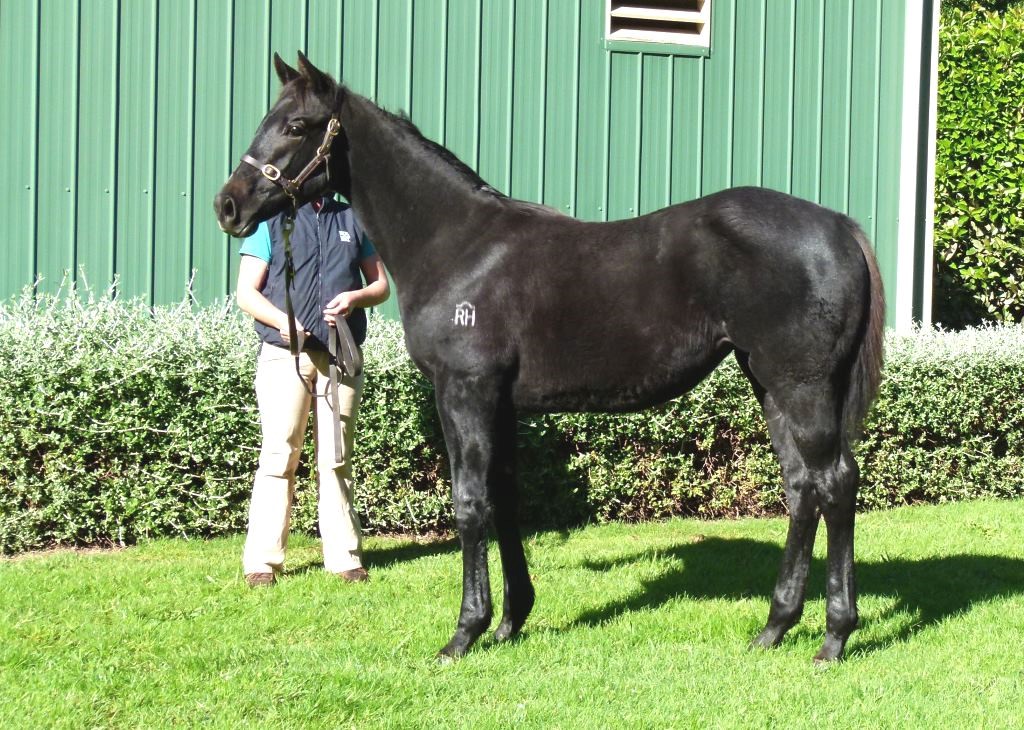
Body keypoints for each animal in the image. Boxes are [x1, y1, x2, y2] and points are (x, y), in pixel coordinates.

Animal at [215, 53, 885, 663]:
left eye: (297, 125)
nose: (229, 205)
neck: (458, 244)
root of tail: (839, 226)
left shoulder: (464, 392)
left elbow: (470, 502)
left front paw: (464, 633)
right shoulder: (501, 405)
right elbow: (505, 498)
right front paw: (511, 621)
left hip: (801, 385)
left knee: (835, 482)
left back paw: (833, 637)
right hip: (768, 383)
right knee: (801, 488)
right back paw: (774, 627)